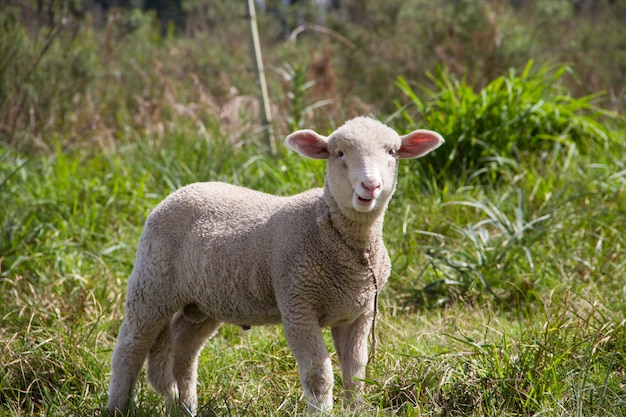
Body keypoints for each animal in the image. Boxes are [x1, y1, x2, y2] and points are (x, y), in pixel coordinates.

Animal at [105, 116, 442, 412]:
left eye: (392, 152)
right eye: (339, 153)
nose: (370, 185)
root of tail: (182, 189)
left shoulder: (359, 313)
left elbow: (355, 375)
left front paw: (356, 410)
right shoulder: (297, 305)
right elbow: (318, 377)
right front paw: (321, 411)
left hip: (204, 301)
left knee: (183, 348)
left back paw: (184, 407)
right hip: (152, 282)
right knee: (130, 346)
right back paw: (118, 407)